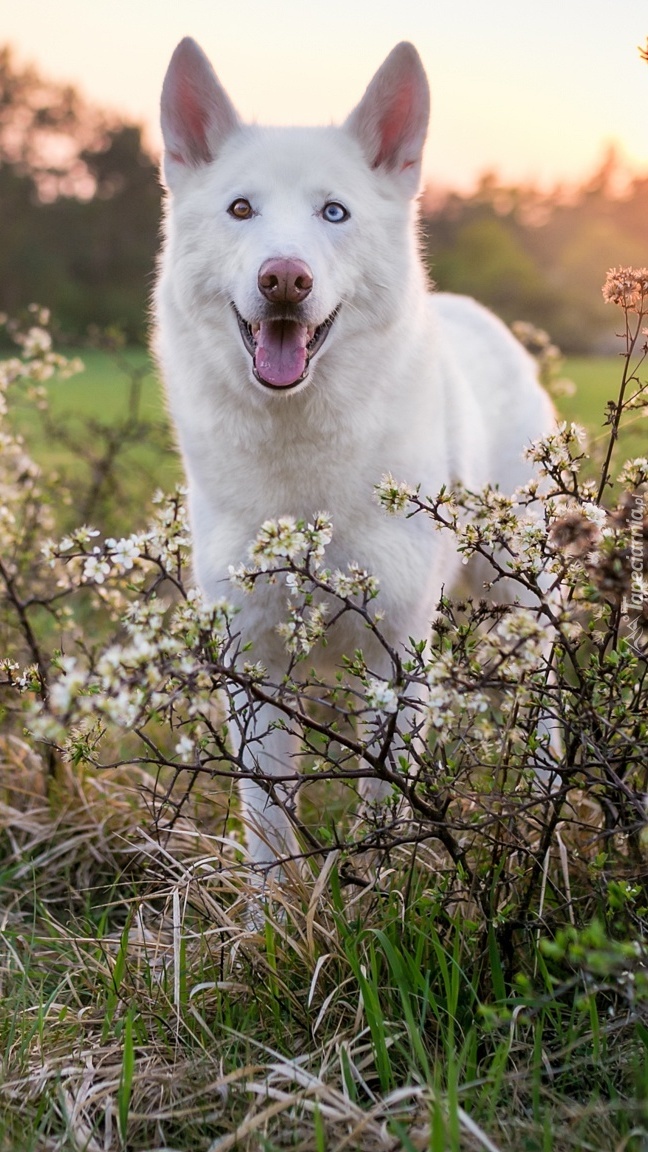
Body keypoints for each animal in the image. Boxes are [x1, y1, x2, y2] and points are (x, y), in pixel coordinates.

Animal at [152, 40, 555, 875]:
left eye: (333, 212)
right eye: (241, 209)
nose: (284, 277)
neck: (299, 468)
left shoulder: (397, 653)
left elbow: (386, 819)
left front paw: (378, 893)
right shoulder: (252, 660)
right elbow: (268, 836)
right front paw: (275, 912)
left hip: (521, 591)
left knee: (546, 707)